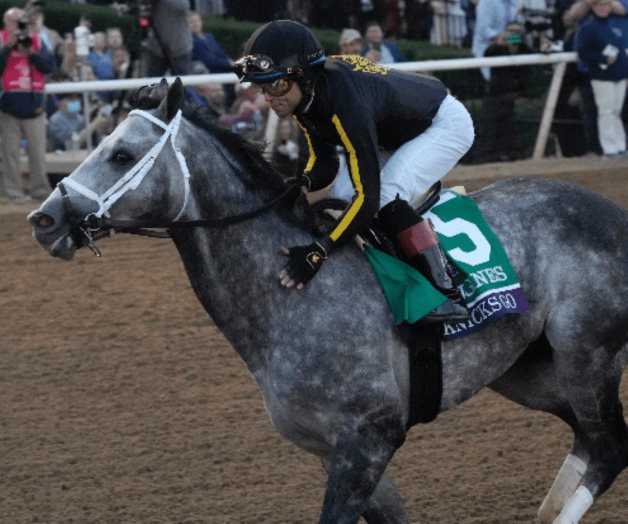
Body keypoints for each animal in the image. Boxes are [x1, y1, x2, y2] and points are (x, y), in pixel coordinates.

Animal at [29, 79, 628, 524]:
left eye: (121, 153)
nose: (44, 219)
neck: (291, 299)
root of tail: (614, 213)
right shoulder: (333, 451)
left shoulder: (369, 440)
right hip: (530, 372)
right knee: (587, 439)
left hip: (584, 353)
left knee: (609, 447)